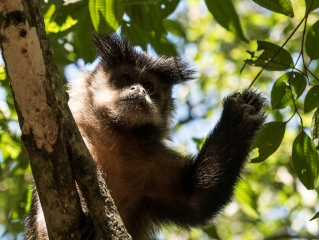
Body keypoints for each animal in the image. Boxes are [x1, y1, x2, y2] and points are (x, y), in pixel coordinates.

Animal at [24, 34, 264, 240]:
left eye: (148, 86)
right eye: (125, 78)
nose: (138, 90)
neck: (120, 136)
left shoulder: (152, 160)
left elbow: (196, 200)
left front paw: (241, 114)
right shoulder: (78, 133)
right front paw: (87, 219)